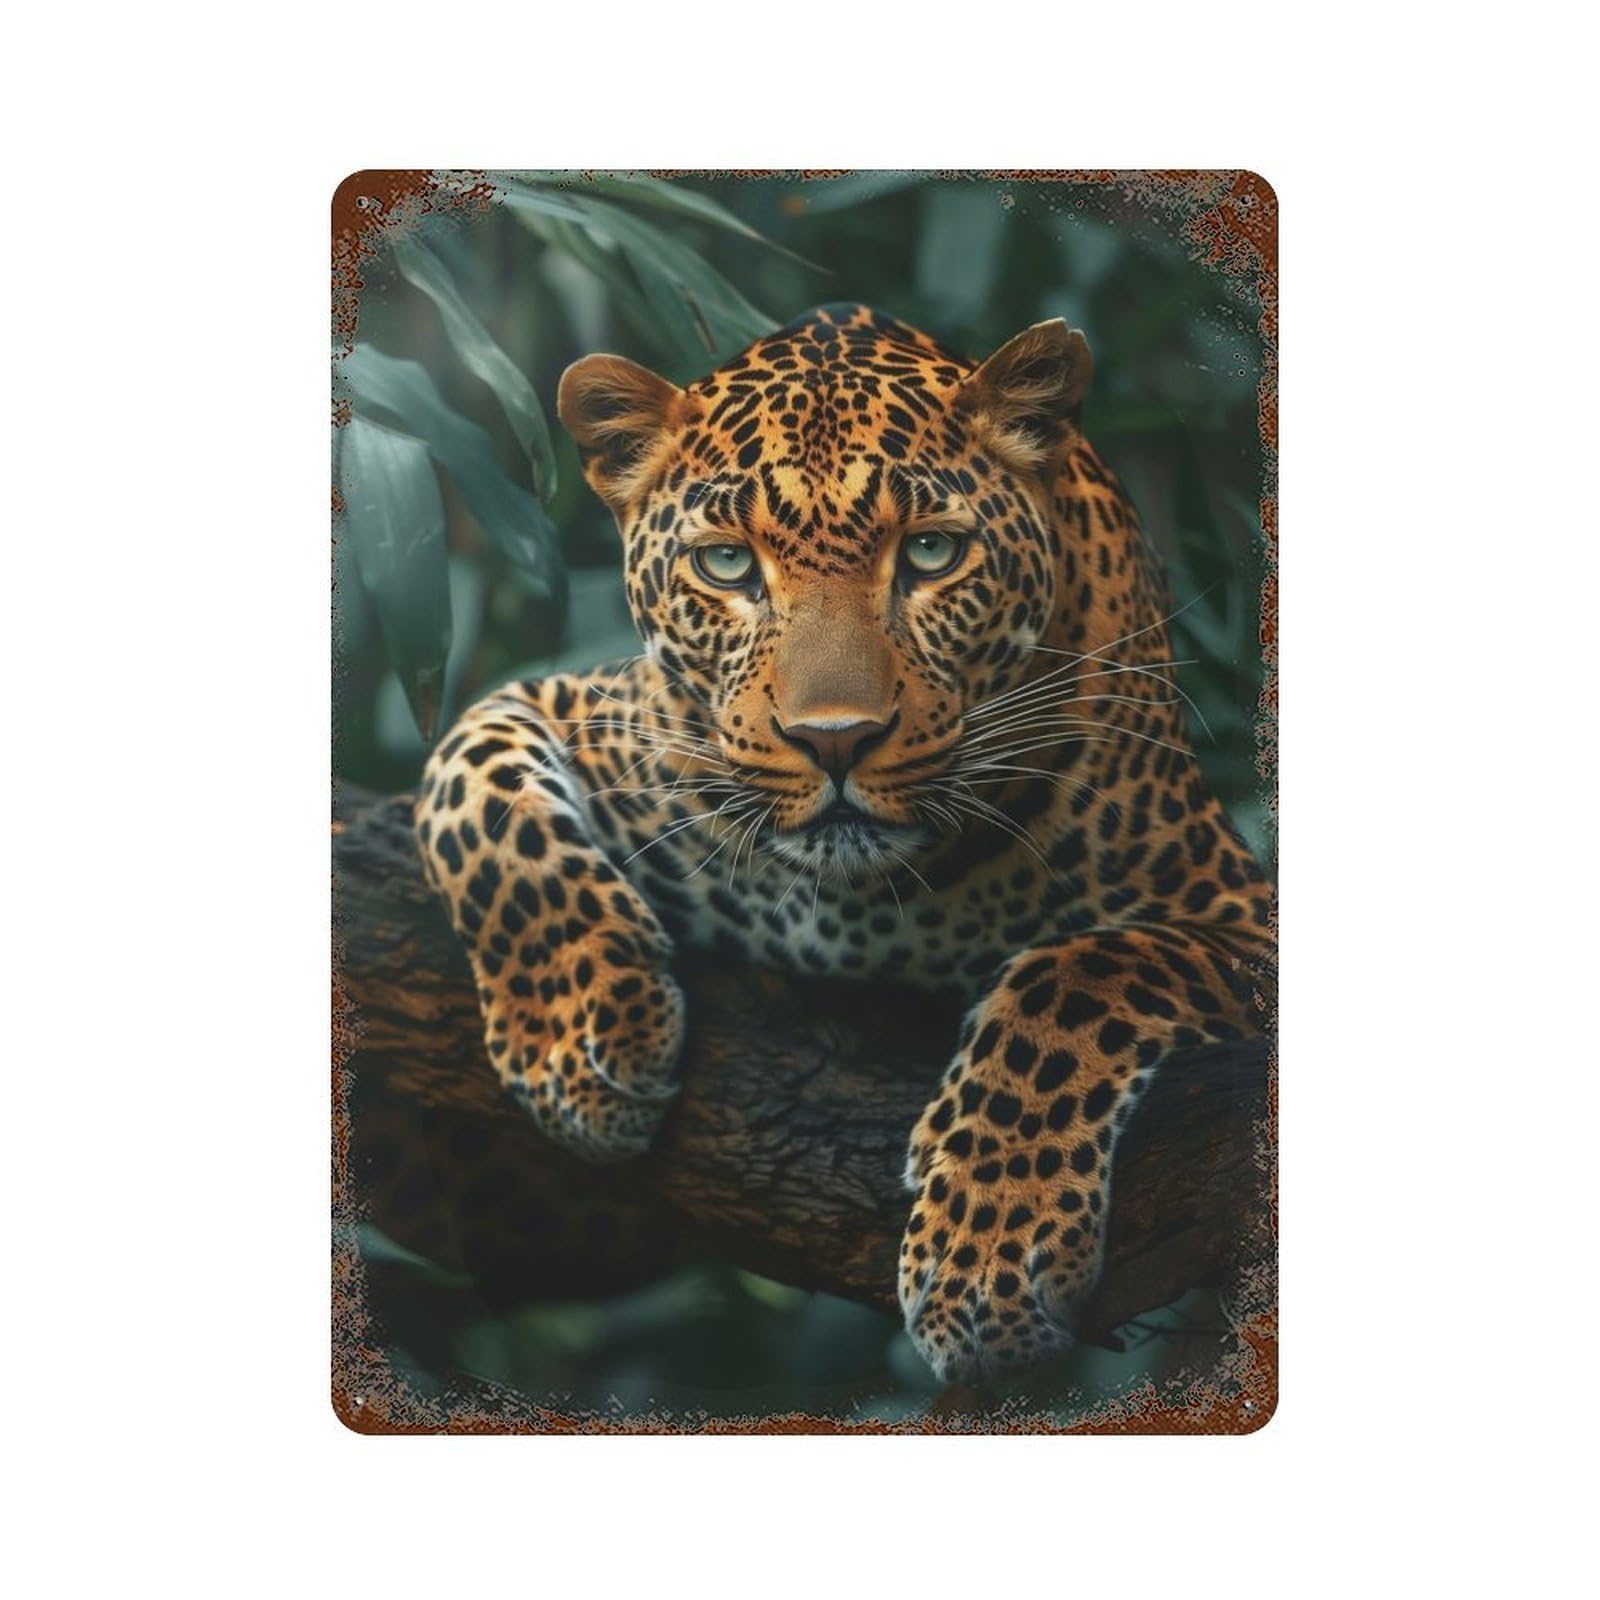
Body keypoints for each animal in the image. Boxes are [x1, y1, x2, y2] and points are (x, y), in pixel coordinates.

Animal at [414, 302, 1273, 1383]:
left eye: (933, 554)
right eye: (727, 563)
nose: (834, 740)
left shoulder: (1239, 914)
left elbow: (1078, 975)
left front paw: (988, 1256)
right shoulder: (573, 705)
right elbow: (474, 796)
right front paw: (579, 1036)